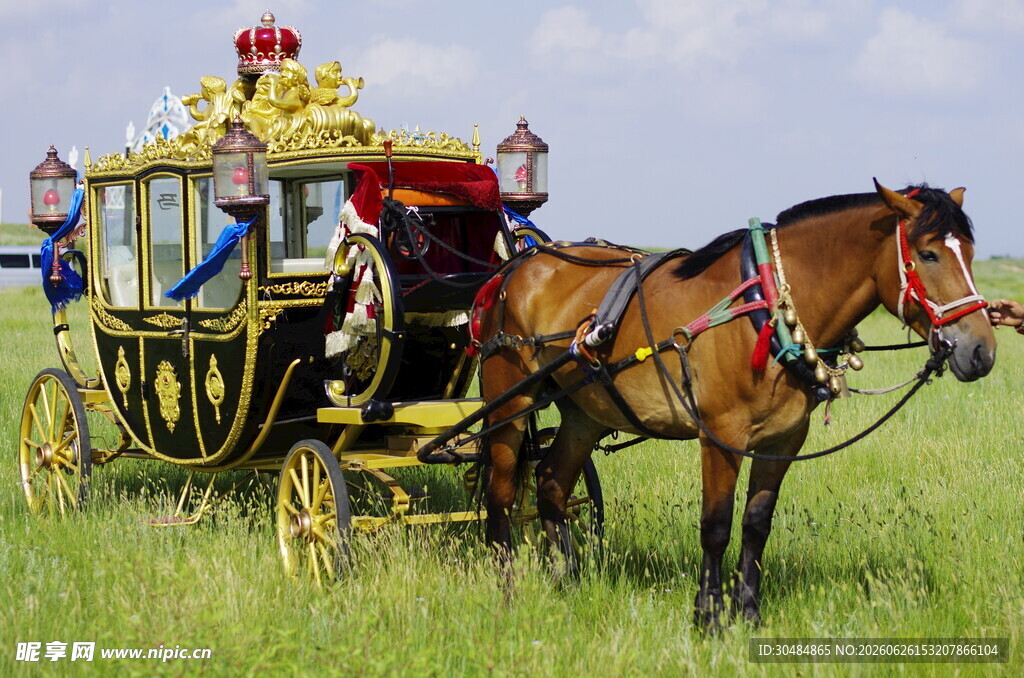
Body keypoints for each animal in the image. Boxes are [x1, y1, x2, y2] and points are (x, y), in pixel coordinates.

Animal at [474, 181, 996, 627]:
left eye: (971, 254)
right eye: (928, 254)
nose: (981, 351)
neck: (766, 307)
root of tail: (517, 266)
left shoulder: (784, 440)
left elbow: (756, 524)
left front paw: (748, 612)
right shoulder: (721, 436)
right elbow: (717, 525)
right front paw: (708, 616)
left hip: (586, 412)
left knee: (550, 483)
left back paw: (566, 578)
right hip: (509, 401)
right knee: (501, 492)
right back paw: (506, 586)